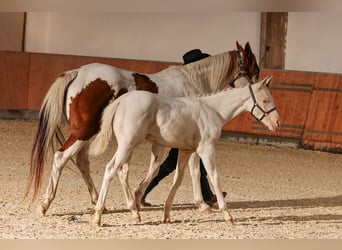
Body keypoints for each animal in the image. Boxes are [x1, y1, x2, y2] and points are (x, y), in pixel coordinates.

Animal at [26, 41, 260, 215]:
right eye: (255, 69)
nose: (258, 89)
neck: (193, 83)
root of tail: (77, 72)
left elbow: (164, 167)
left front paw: (140, 197)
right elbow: (194, 169)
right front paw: (202, 203)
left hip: (90, 133)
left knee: (82, 160)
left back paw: (98, 201)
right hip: (83, 132)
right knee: (61, 158)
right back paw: (45, 204)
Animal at [89, 75, 282, 226]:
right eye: (265, 100)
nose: (277, 123)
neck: (213, 111)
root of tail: (121, 101)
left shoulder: (186, 151)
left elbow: (179, 178)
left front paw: (166, 215)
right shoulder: (206, 150)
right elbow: (214, 177)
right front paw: (227, 215)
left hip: (128, 146)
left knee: (123, 171)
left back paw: (135, 212)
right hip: (128, 144)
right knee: (111, 169)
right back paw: (98, 216)